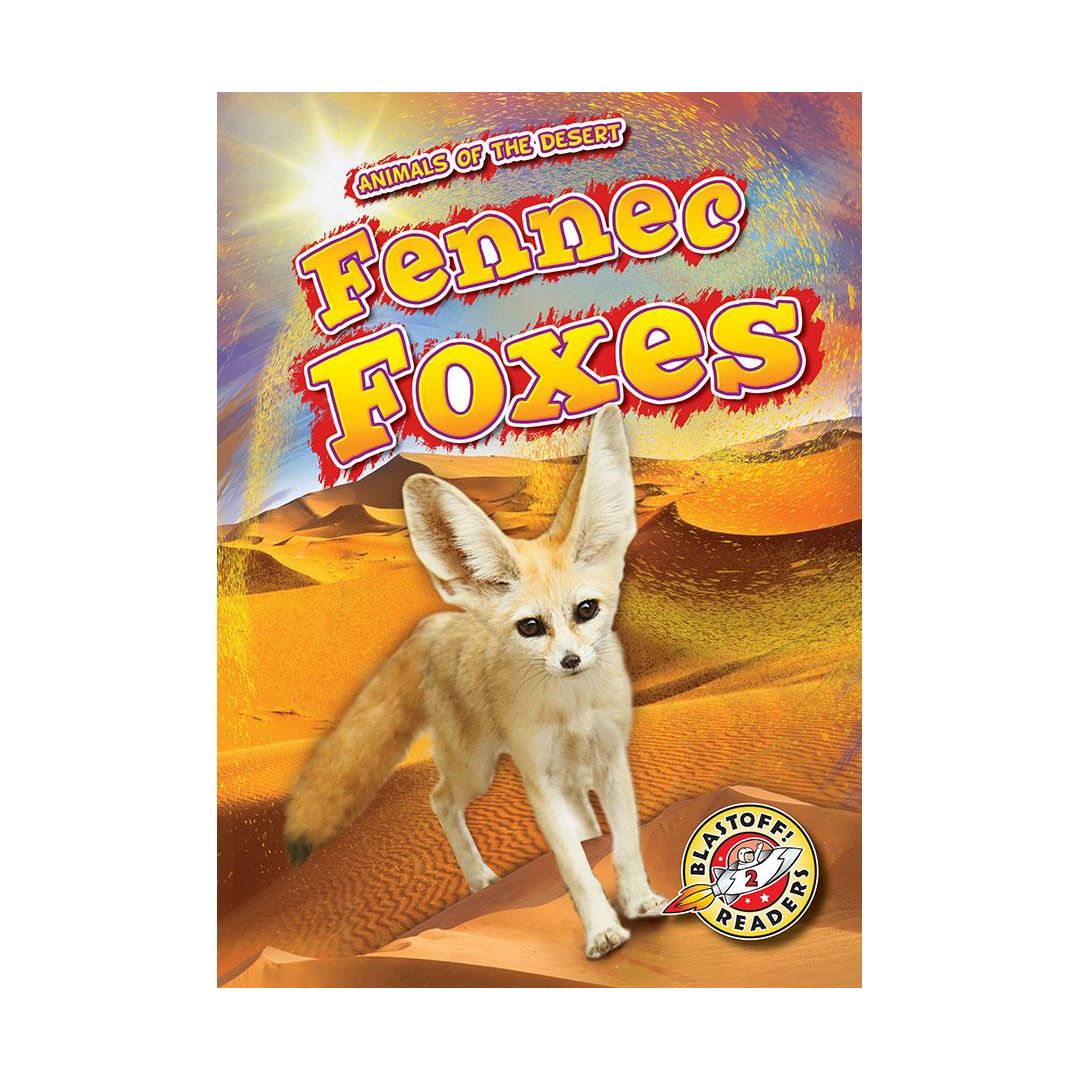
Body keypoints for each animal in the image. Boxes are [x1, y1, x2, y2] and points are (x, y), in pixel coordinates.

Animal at [283, 404, 665, 959]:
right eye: (531, 627)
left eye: (586, 610)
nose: (571, 660)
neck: (571, 709)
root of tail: (437, 622)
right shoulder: (538, 781)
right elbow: (574, 868)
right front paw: (600, 930)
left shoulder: (611, 762)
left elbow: (628, 846)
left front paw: (638, 901)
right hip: (476, 769)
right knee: (440, 800)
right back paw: (480, 878)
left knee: (582, 820)